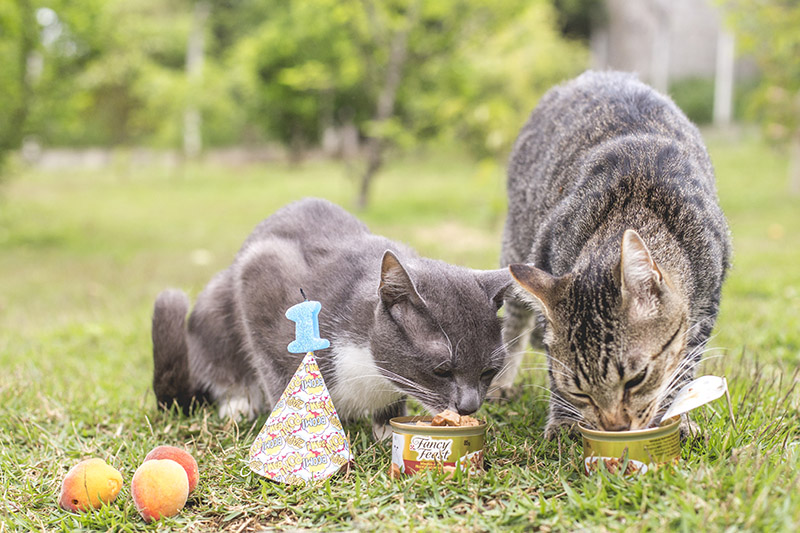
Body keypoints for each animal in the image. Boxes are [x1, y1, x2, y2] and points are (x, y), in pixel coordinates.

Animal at [153, 195, 510, 436]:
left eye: (489, 371)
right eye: (442, 370)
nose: (469, 406)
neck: (369, 370)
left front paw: (386, 427)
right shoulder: (262, 273)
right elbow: (276, 371)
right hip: (216, 304)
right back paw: (238, 402)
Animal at [500, 70, 732, 436]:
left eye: (636, 379)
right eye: (580, 391)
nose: (615, 428)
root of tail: (596, 74)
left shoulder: (706, 306)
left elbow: (681, 370)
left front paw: (673, 416)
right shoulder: (545, 254)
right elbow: (551, 363)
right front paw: (564, 421)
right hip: (516, 242)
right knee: (512, 324)